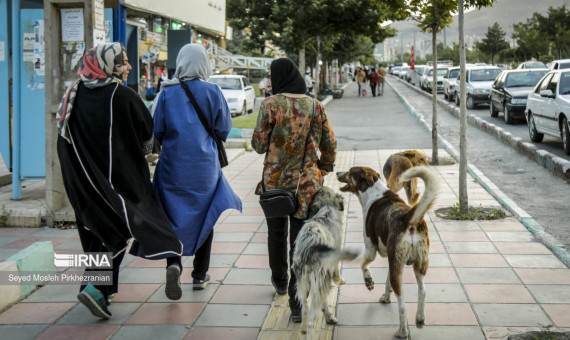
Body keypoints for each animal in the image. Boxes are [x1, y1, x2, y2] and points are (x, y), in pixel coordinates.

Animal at [336, 165, 438, 338]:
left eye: (350, 171)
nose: (336, 172)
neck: (372, 191)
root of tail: (408, 218)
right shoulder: (393, 260)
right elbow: (387, 281)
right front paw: (385, 296)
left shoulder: (371, 249)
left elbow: (363, 264)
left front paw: (369, 282)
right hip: (418, 263)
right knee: (423, 291)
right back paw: (419, 319)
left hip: (398, 265)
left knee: (402, 305)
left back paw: (403, 331)